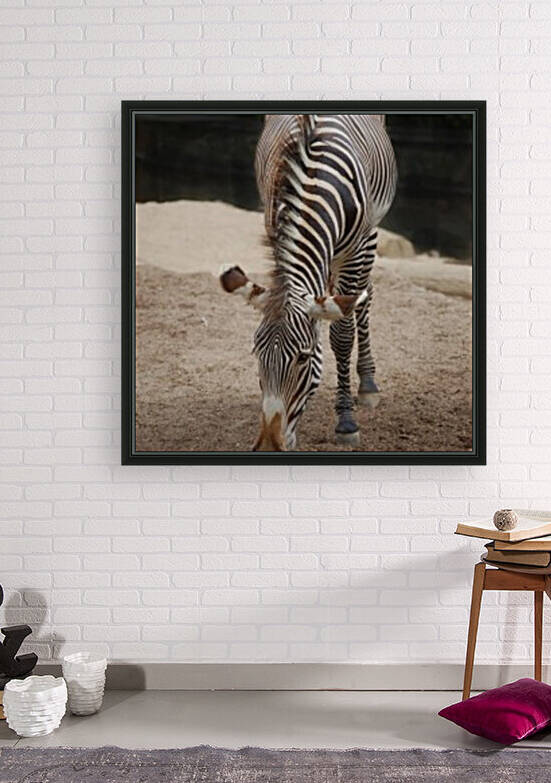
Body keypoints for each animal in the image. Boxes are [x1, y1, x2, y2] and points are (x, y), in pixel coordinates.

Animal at [220, 113, 397, 451]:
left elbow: (342, 335)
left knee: (365, 298)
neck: (315, 181)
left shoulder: (354, 251)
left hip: (370, 235)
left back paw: (367, 384)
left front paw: (346, 421)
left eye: (303, 358)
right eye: (257, 353)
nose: (268, 446)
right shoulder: (276, 227)